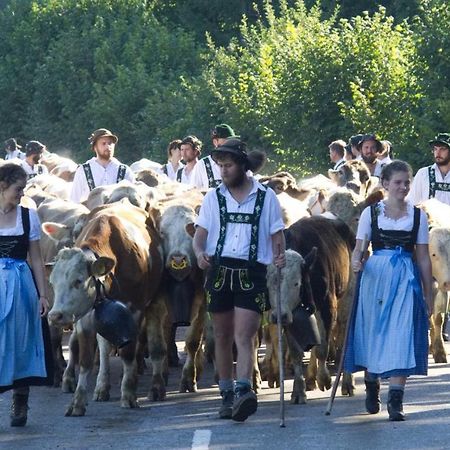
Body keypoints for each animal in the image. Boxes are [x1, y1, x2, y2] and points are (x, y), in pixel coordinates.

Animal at [46, 199, 165, 416]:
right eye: (52, 283)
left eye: (78, 281)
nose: (55, 316)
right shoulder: (84, 317)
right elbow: (85, 359)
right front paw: (78, 401)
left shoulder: (134, 311)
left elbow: (128, 353)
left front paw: (128, 394)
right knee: (103, 345)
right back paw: (102, 386)